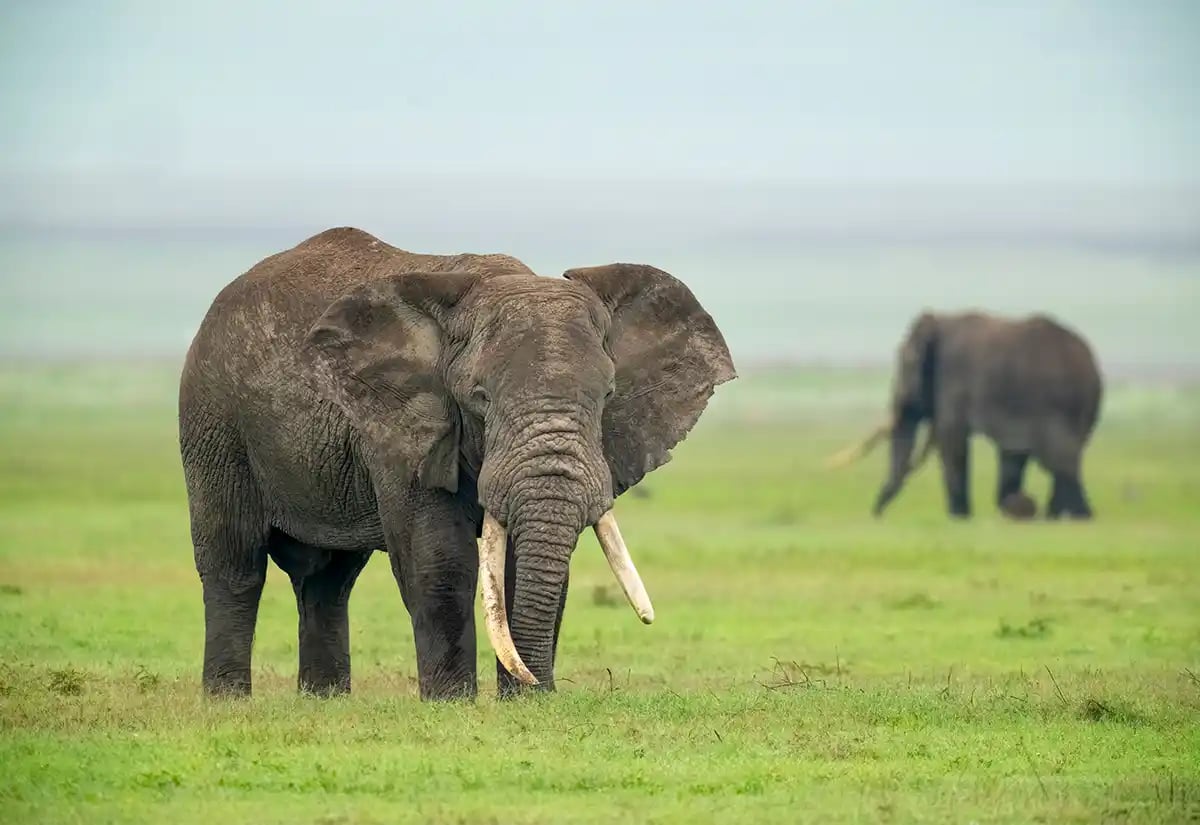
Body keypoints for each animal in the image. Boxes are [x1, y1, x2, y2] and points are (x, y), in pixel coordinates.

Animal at [178, 227, 735, 700]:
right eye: (479, 398)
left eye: (609, 395)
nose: (540, 686)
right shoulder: (405, 428)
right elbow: (439, 561)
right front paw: (452, 703)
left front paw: (523, 703)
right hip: (213, 423)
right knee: (235, 564)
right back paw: (228, 702)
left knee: (328, 579)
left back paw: (324, 701)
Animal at [826, 311, 1101, 520]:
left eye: (906, 366)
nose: (876, 514)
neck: (940, 321)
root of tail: (1092, 368)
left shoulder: (953, 379)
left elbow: (951, 437)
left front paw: (959, 517)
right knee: (1046, 459)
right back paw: (1056, 515)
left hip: (1057, 405)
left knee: (1059, 460)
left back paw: (1074, 516)